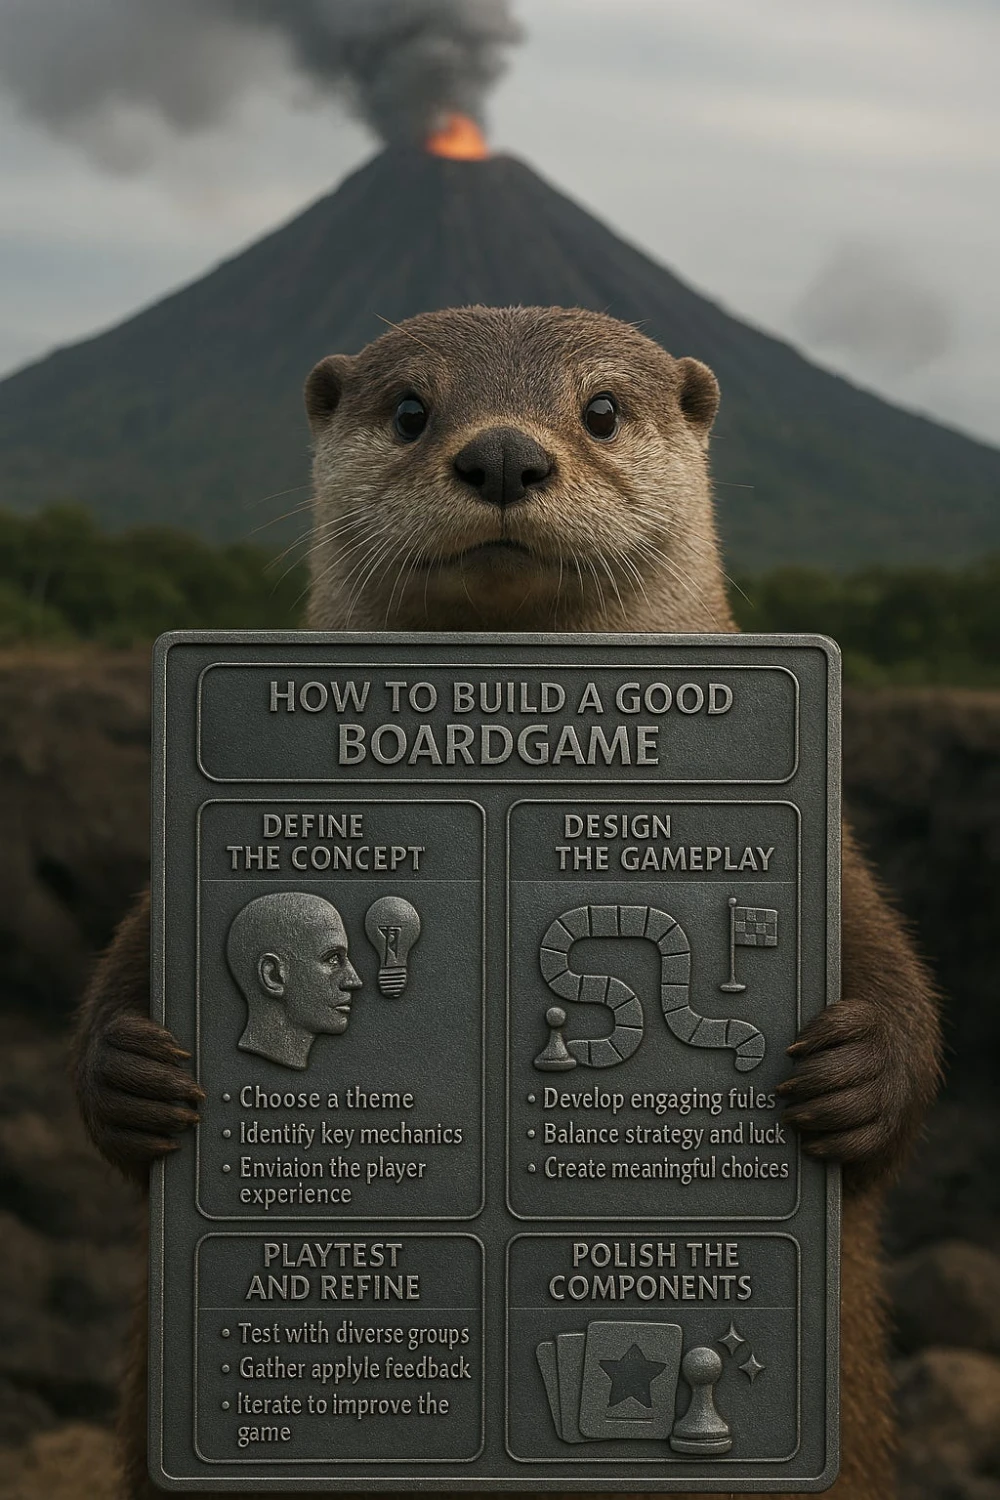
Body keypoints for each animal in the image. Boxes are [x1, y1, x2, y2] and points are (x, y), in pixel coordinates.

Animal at [73, 305, 941, 1500]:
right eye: (409, 409)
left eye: (601, 410)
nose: (499, 455)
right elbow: (117, 999)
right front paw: (134, 1074)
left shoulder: (839, 859)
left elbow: (903, 1003)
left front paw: (854, 1074)